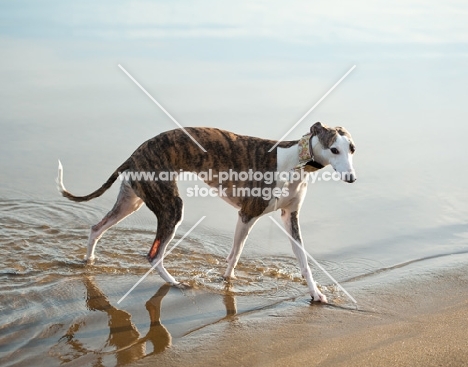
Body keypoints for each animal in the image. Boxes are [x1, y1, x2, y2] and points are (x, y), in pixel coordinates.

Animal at [59, 122, 358, 304]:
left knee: (96, 228)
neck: (294, 161)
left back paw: (89, 261)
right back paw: (176, 283)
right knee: (153, 254)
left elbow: (304, 261)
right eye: (334, 149)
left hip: (132, 201)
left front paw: (316, 294)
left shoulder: (290, 218)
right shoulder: (247, 215)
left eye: (352, 149)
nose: (352, 178)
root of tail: (134, 154)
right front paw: (226, 282)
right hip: (171, 207)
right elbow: (235, 255)